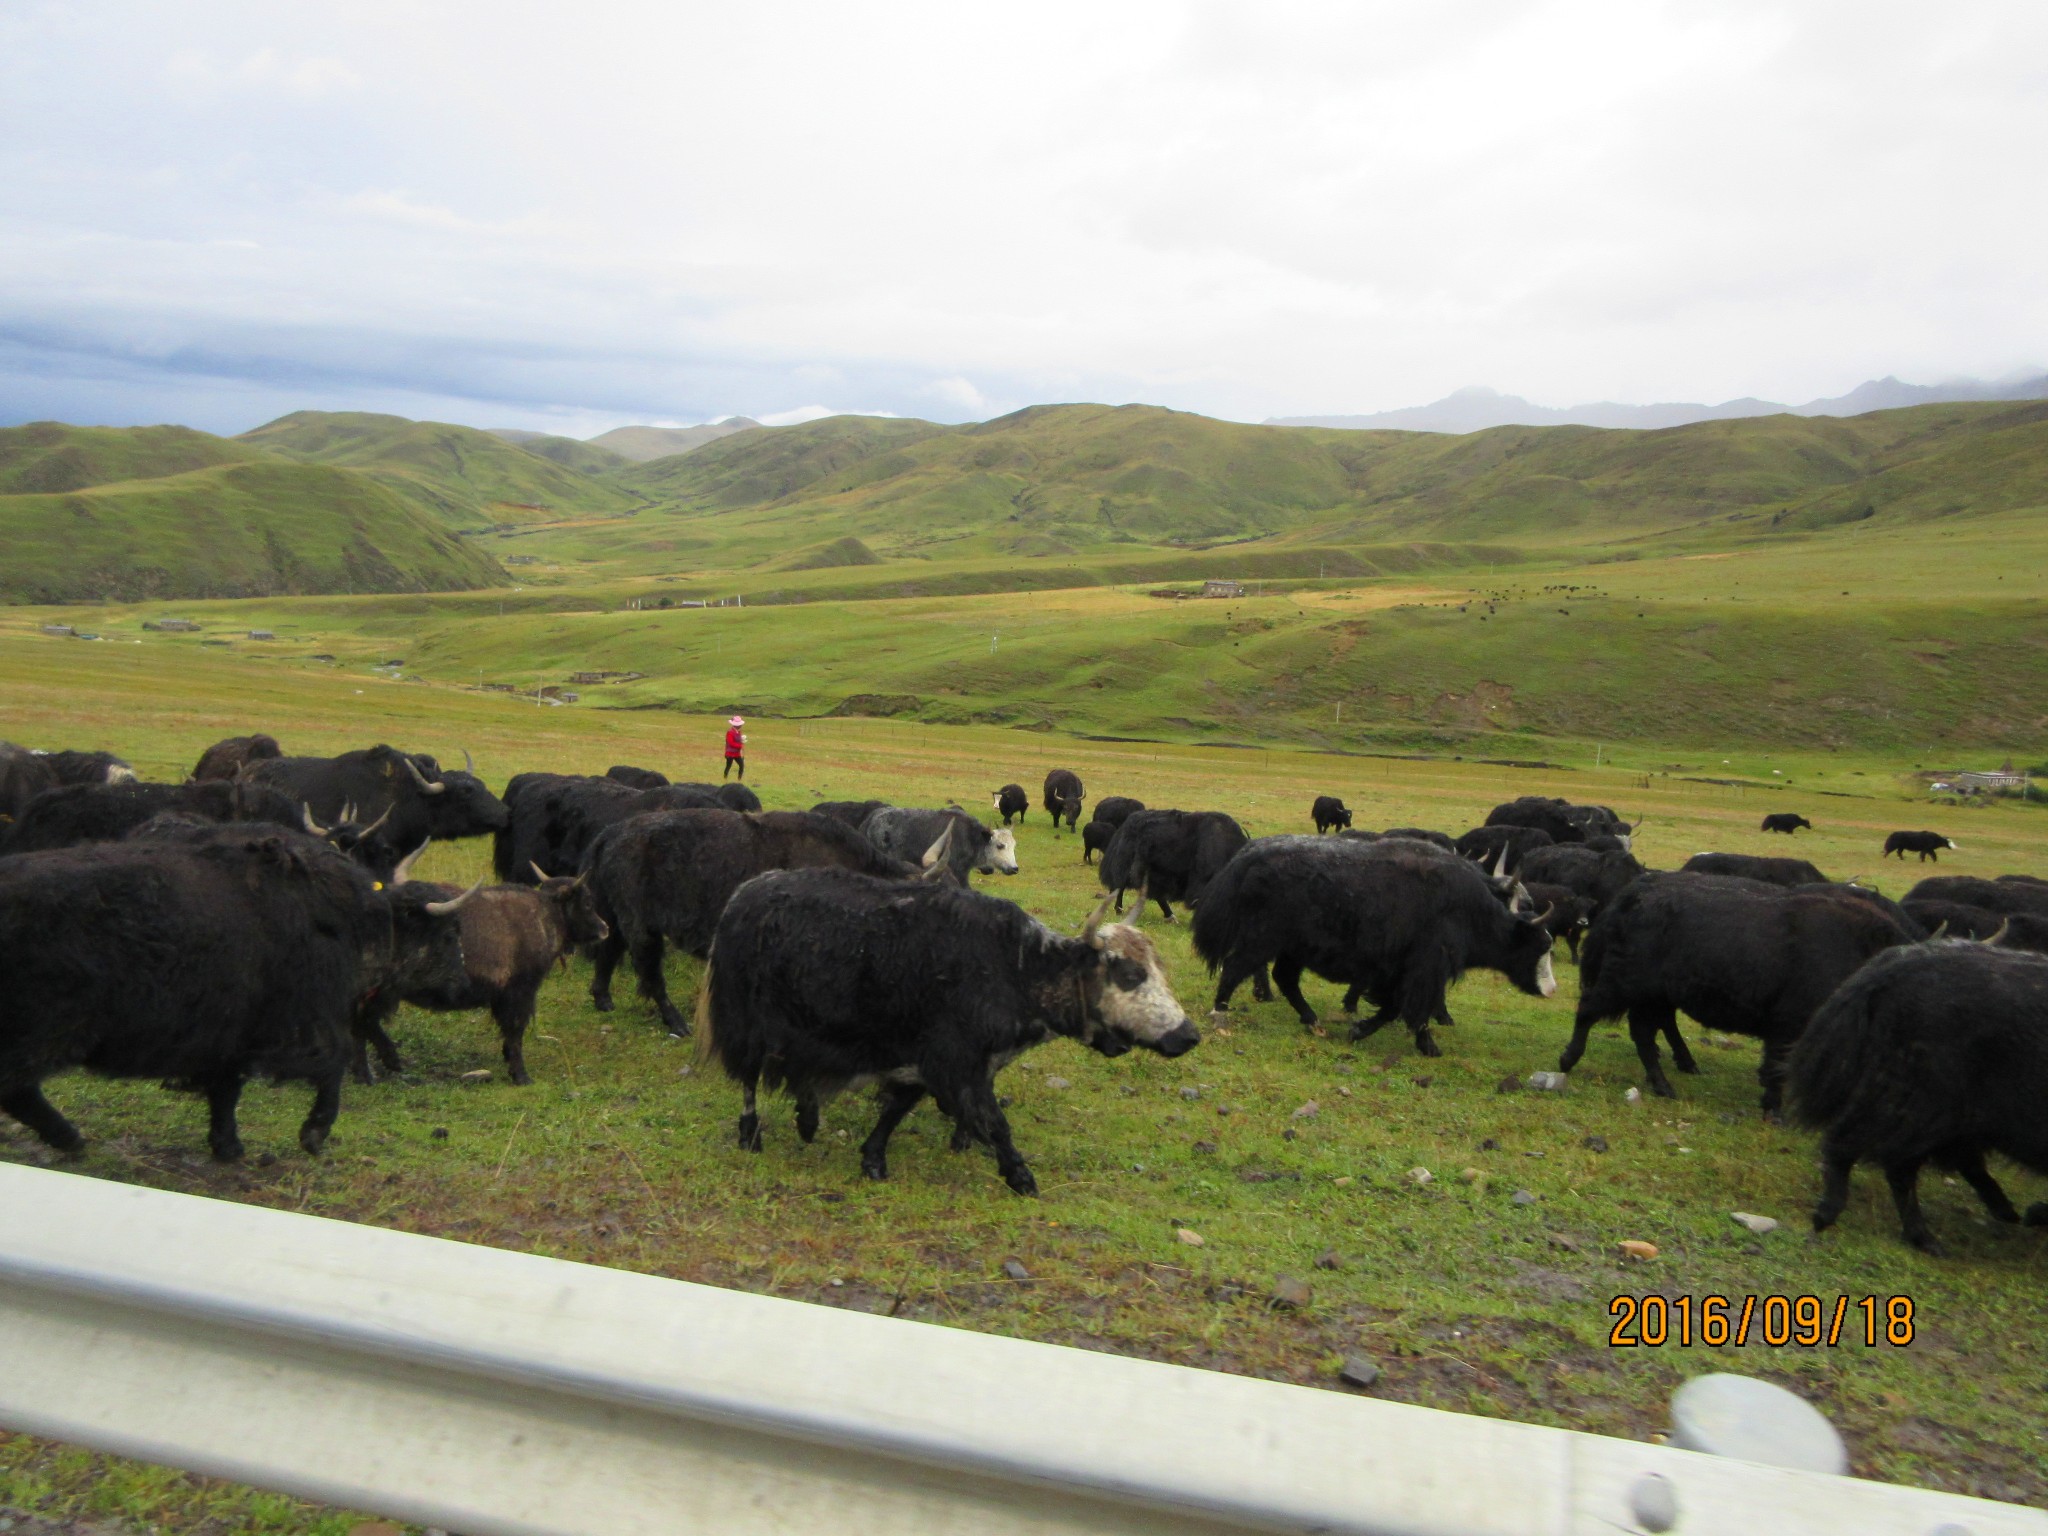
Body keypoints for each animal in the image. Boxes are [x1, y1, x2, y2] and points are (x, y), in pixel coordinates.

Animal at [700, 876, 1196, 1187]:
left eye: (1159, 969)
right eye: (1129, 975)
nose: (1187, 1035)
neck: (1016, 968)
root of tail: (740, 898)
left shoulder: (925, 1057)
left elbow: (898, 1108)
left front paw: (874, 1160)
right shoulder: (954, 1059)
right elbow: (995, 1123)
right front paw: (1020, 1177)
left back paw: (807, 1120)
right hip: (747, 1023)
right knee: (748, 1080)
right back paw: (751, 1136)